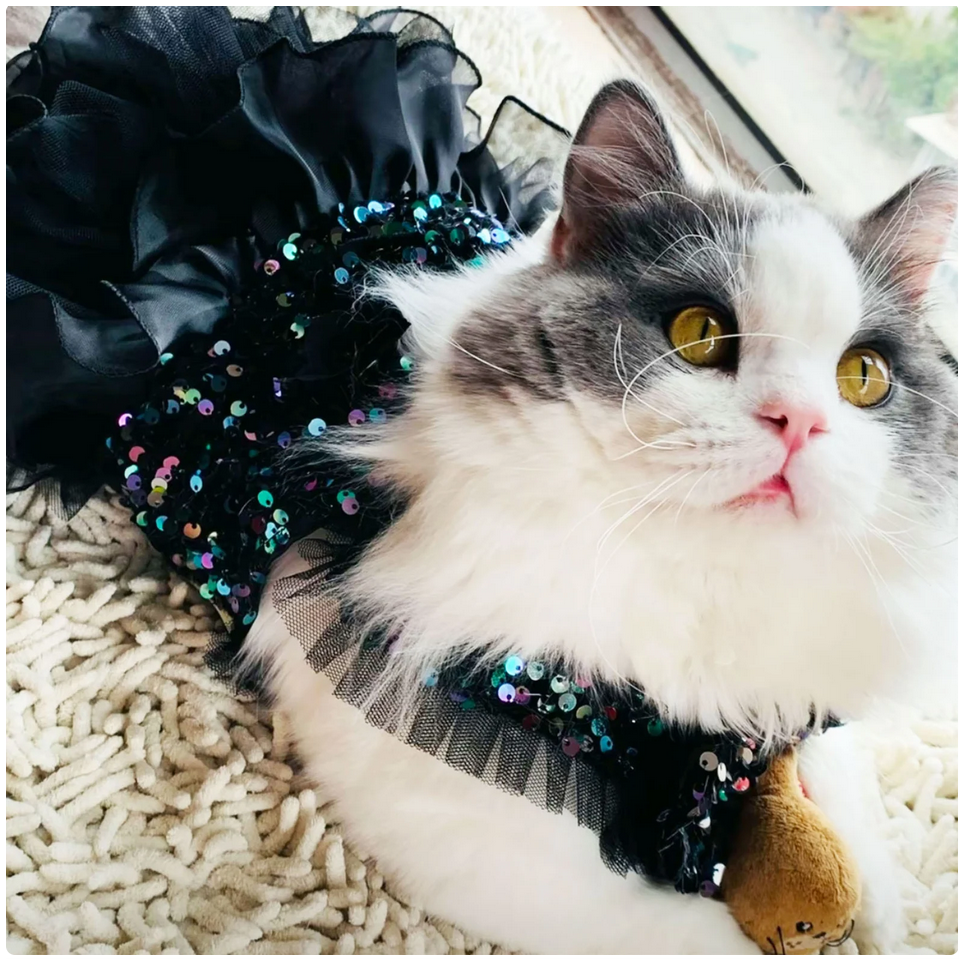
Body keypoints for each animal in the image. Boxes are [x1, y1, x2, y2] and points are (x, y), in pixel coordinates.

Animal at [243, 84, 956, 956]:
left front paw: (891, 915)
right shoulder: (460, 817)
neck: (702, 581)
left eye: (863, 377)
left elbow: (840, 768)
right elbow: (686, 932)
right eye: (699, 333)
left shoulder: (802, 677)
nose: (800, 422)